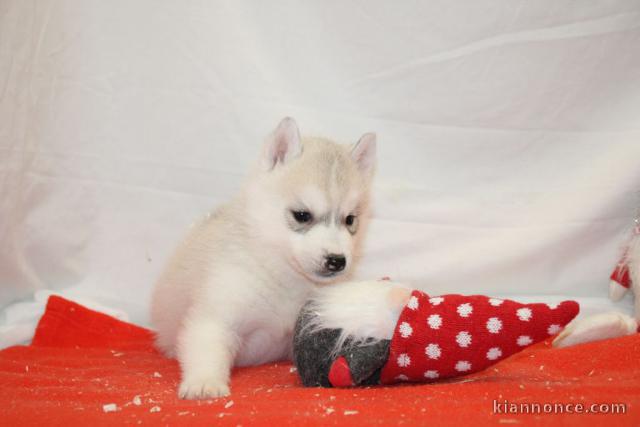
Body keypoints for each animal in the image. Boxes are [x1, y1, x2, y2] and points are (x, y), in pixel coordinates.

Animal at [151, 118, 376, 400]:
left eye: (350, 220)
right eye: (302, 215)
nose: (337, 260)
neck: (282, 272)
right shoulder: (215, 317)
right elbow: (207, 347)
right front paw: (204, 382)